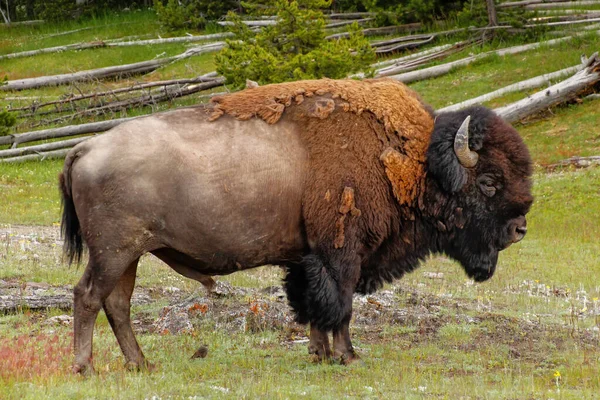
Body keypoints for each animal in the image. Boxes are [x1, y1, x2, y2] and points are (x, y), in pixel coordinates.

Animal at [59, 79, 528, 376]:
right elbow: (341, 305)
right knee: (88, 296)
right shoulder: (343, 254)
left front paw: (319, 354)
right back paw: (85, 367)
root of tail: (86, 146)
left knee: (117, 304)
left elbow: (317, 305)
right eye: (489, 181)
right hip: (114, 252)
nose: (519, 229)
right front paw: (348, 356)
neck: (410, 160)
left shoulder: (311, 259)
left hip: (129, 256)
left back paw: (141, 364)